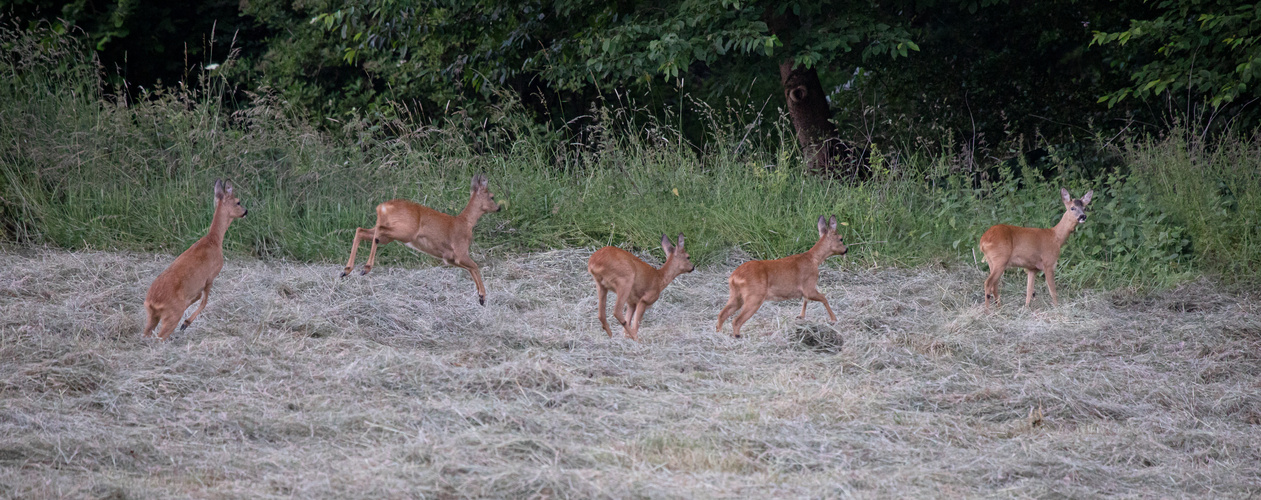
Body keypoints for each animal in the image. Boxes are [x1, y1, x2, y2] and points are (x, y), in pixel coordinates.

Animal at [143, 178, 248, 340]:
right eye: (238, 202)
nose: (245, 211)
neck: (214, 240)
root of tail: (153, 301)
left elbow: (198, 297)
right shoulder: (211, 276)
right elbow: (204, 301)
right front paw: (186, 323)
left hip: (151, 315)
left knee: (146, 333)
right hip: (172, 314)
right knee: (160, 336)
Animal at [348, 173, 504, 306]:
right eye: (492, 196)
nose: (499, 208)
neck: (466, 222)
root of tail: (382, 207)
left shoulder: (449, 258)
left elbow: (471, 269)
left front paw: (480, 298)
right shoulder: (460, 252)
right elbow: (476, 266)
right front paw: (482, 296)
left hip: (390, 236)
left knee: (361, 230)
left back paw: (347, 270)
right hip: (405, 232)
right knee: (376, 231)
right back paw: (365, 268)